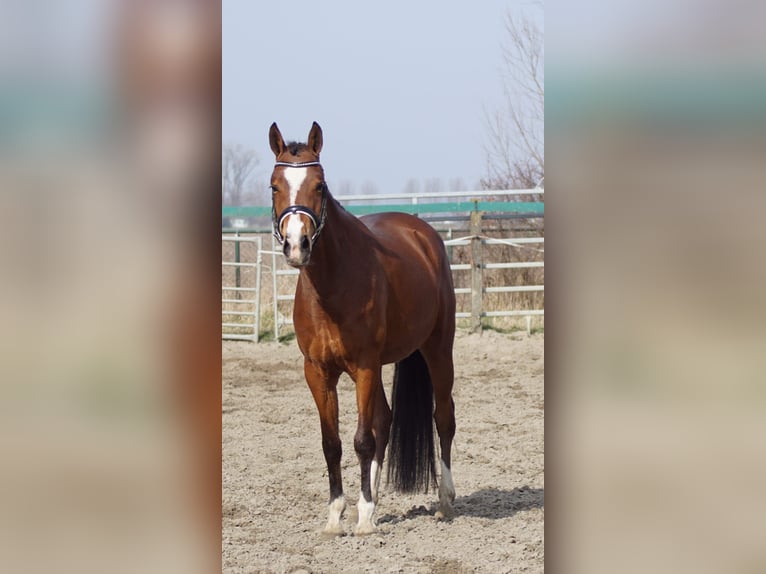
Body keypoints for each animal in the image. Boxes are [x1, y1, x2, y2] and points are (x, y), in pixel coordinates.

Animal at [268, 121, 456, 536]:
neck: (332, 285)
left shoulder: (366, 366)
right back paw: (370, 500)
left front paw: (364, 517)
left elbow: (361, 440)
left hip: (437, 350)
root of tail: (422, 233)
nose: (297, 245)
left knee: (444, 418)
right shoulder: (318, 372)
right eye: (274, 185)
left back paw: (444, 501)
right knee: (384, 420)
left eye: (320, 185)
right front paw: (338, 514)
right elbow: (333, 443)